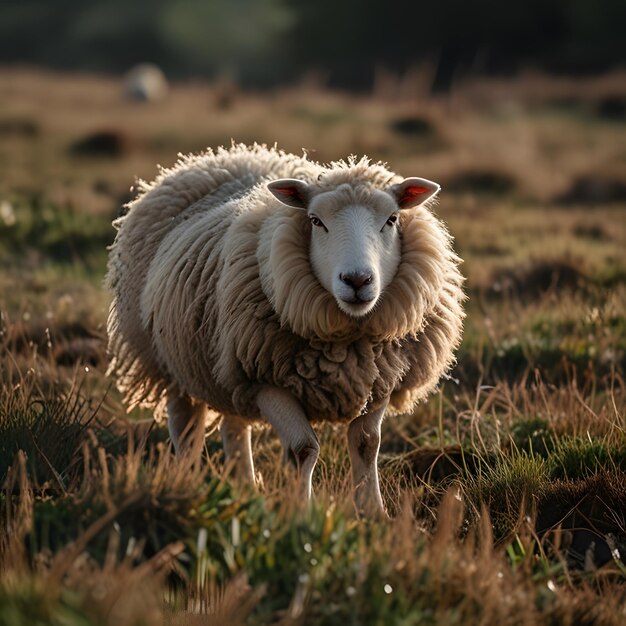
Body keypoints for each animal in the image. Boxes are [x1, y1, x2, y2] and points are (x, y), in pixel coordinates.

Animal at [106, 144, 464, 516]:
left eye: (392, 219)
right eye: (315, 221)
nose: (357, 280)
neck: (348, 344)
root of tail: (227, 154)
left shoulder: (381, 379)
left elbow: (367, 443)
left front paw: (373, 514)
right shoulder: (265, 380)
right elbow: (303, 449)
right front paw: (300, 513)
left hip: (228, 366)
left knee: (235, 426)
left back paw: (245, 488)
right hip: (173, 362)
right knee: (187, 432)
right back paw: (185, 482)